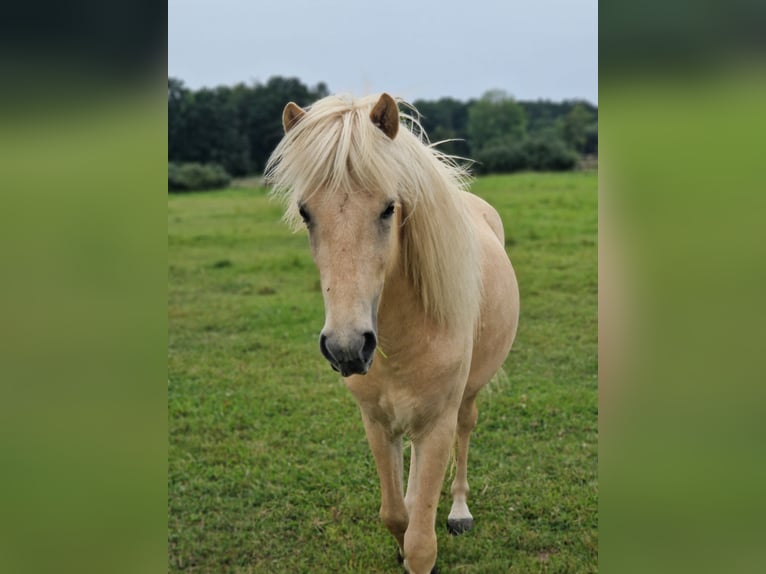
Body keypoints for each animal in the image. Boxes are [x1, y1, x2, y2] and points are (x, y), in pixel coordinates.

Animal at [266, 92, 520, 572]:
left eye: (388, 208)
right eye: (306, 213)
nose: (347, 348)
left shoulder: (436, 424)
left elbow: (422, 542)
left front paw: (420, 544)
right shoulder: (378, 423)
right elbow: (397, 513)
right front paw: (400, 540)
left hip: (467, 398)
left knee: (466, 432)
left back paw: (459, 511)